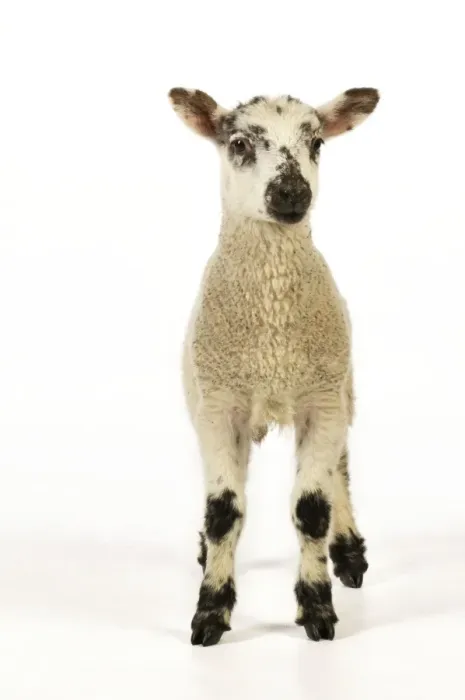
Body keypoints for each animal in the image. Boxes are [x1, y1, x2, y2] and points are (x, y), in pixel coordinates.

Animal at [168, 86, 379, 646]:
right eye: (239, 143)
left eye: (317, 144)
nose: (291, 192)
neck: (272, 342)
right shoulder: (218, 406)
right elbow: (224, 511)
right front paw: (211, 612)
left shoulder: (321, 400)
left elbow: (311, 509)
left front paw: (318, 608)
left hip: (343, 386)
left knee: (340, 469)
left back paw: (348, 553)